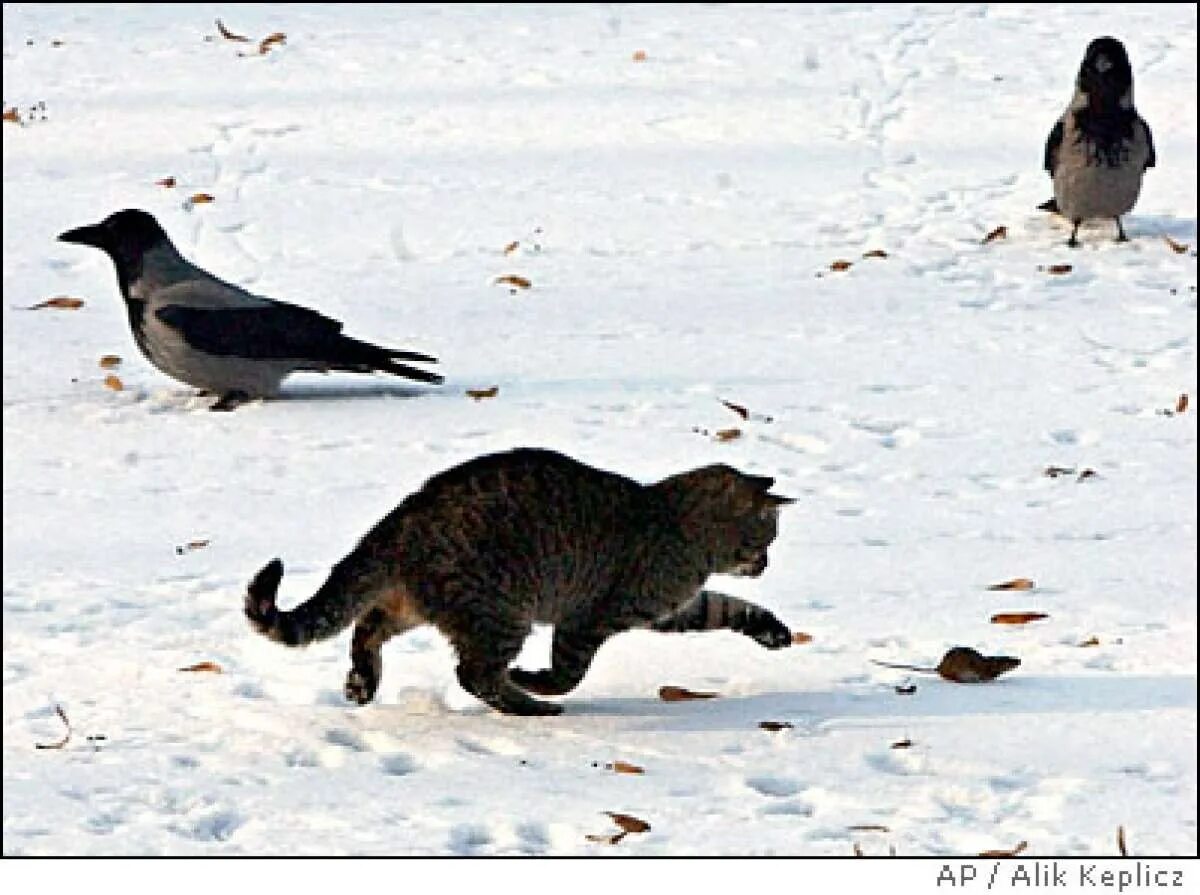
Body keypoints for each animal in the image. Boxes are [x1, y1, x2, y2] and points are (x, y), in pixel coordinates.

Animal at [244, 447, 795, 716]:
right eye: (767, 536)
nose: (768, 564)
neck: (676, 520)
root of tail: (401, 520)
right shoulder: (592, 619)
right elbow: (568, 672)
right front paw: (537, 681)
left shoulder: (674, 609)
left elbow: (727, 606)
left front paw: (772, 629)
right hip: (500, 615)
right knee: (474, 674)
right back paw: (527, 704)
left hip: (419, 605)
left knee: (367, 628)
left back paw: (362, 681)